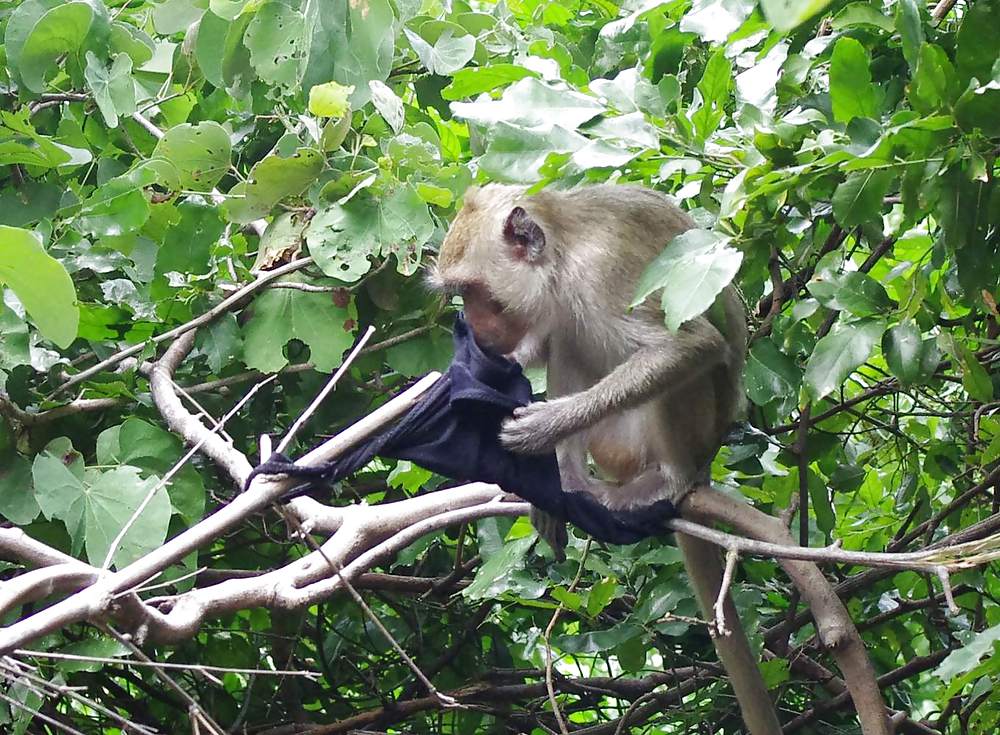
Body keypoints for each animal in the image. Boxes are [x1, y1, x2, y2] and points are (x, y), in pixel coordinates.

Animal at [428, 183, 783, 735]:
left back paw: (669, 481)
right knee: (568, 344)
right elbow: (555, 346)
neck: (563, 257)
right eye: (461, 293)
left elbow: (688, 346)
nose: (474, 327)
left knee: (680, 373)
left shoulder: (605, 275)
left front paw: (544, 427)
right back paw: (567, 483)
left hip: (679, 434)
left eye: (476, 291)